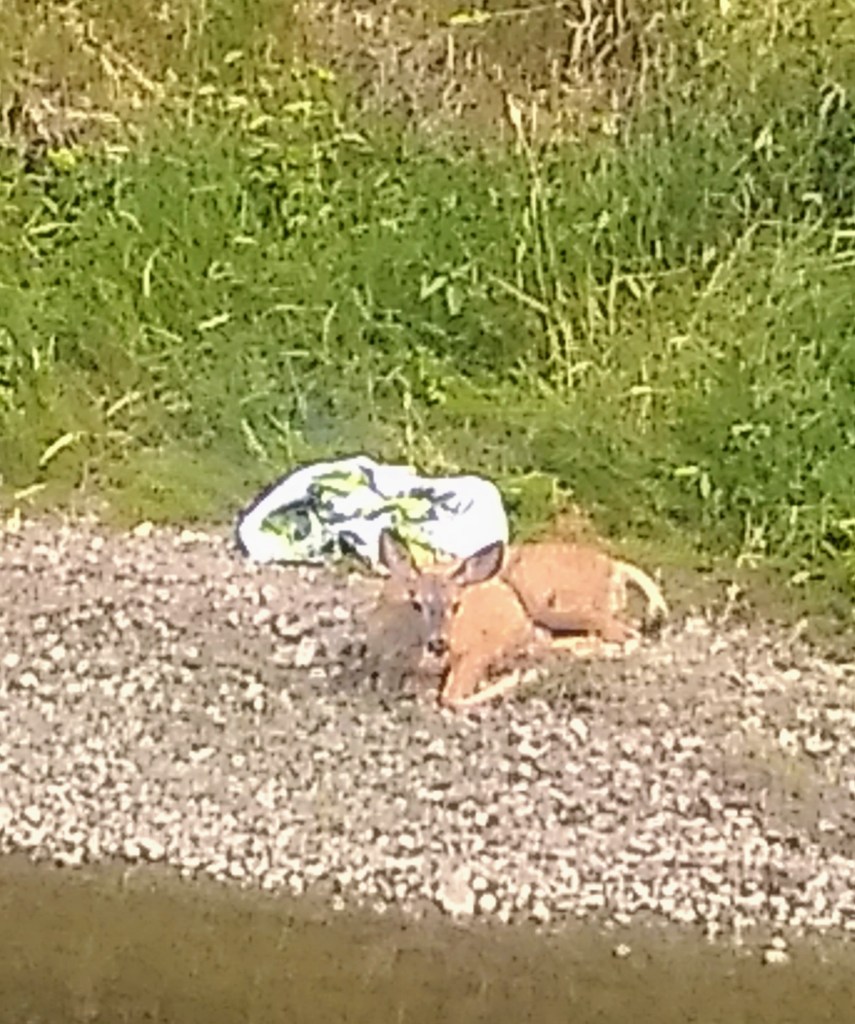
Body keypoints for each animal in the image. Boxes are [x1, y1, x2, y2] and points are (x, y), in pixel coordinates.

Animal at [378, 529, 667, 710]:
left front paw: (521, 676)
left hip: (543, 597)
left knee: (627, 633)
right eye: (416, 603)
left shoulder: (481, 646)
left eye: (456, 604)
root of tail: (615, 567)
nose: (438, 643)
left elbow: (451, 698)